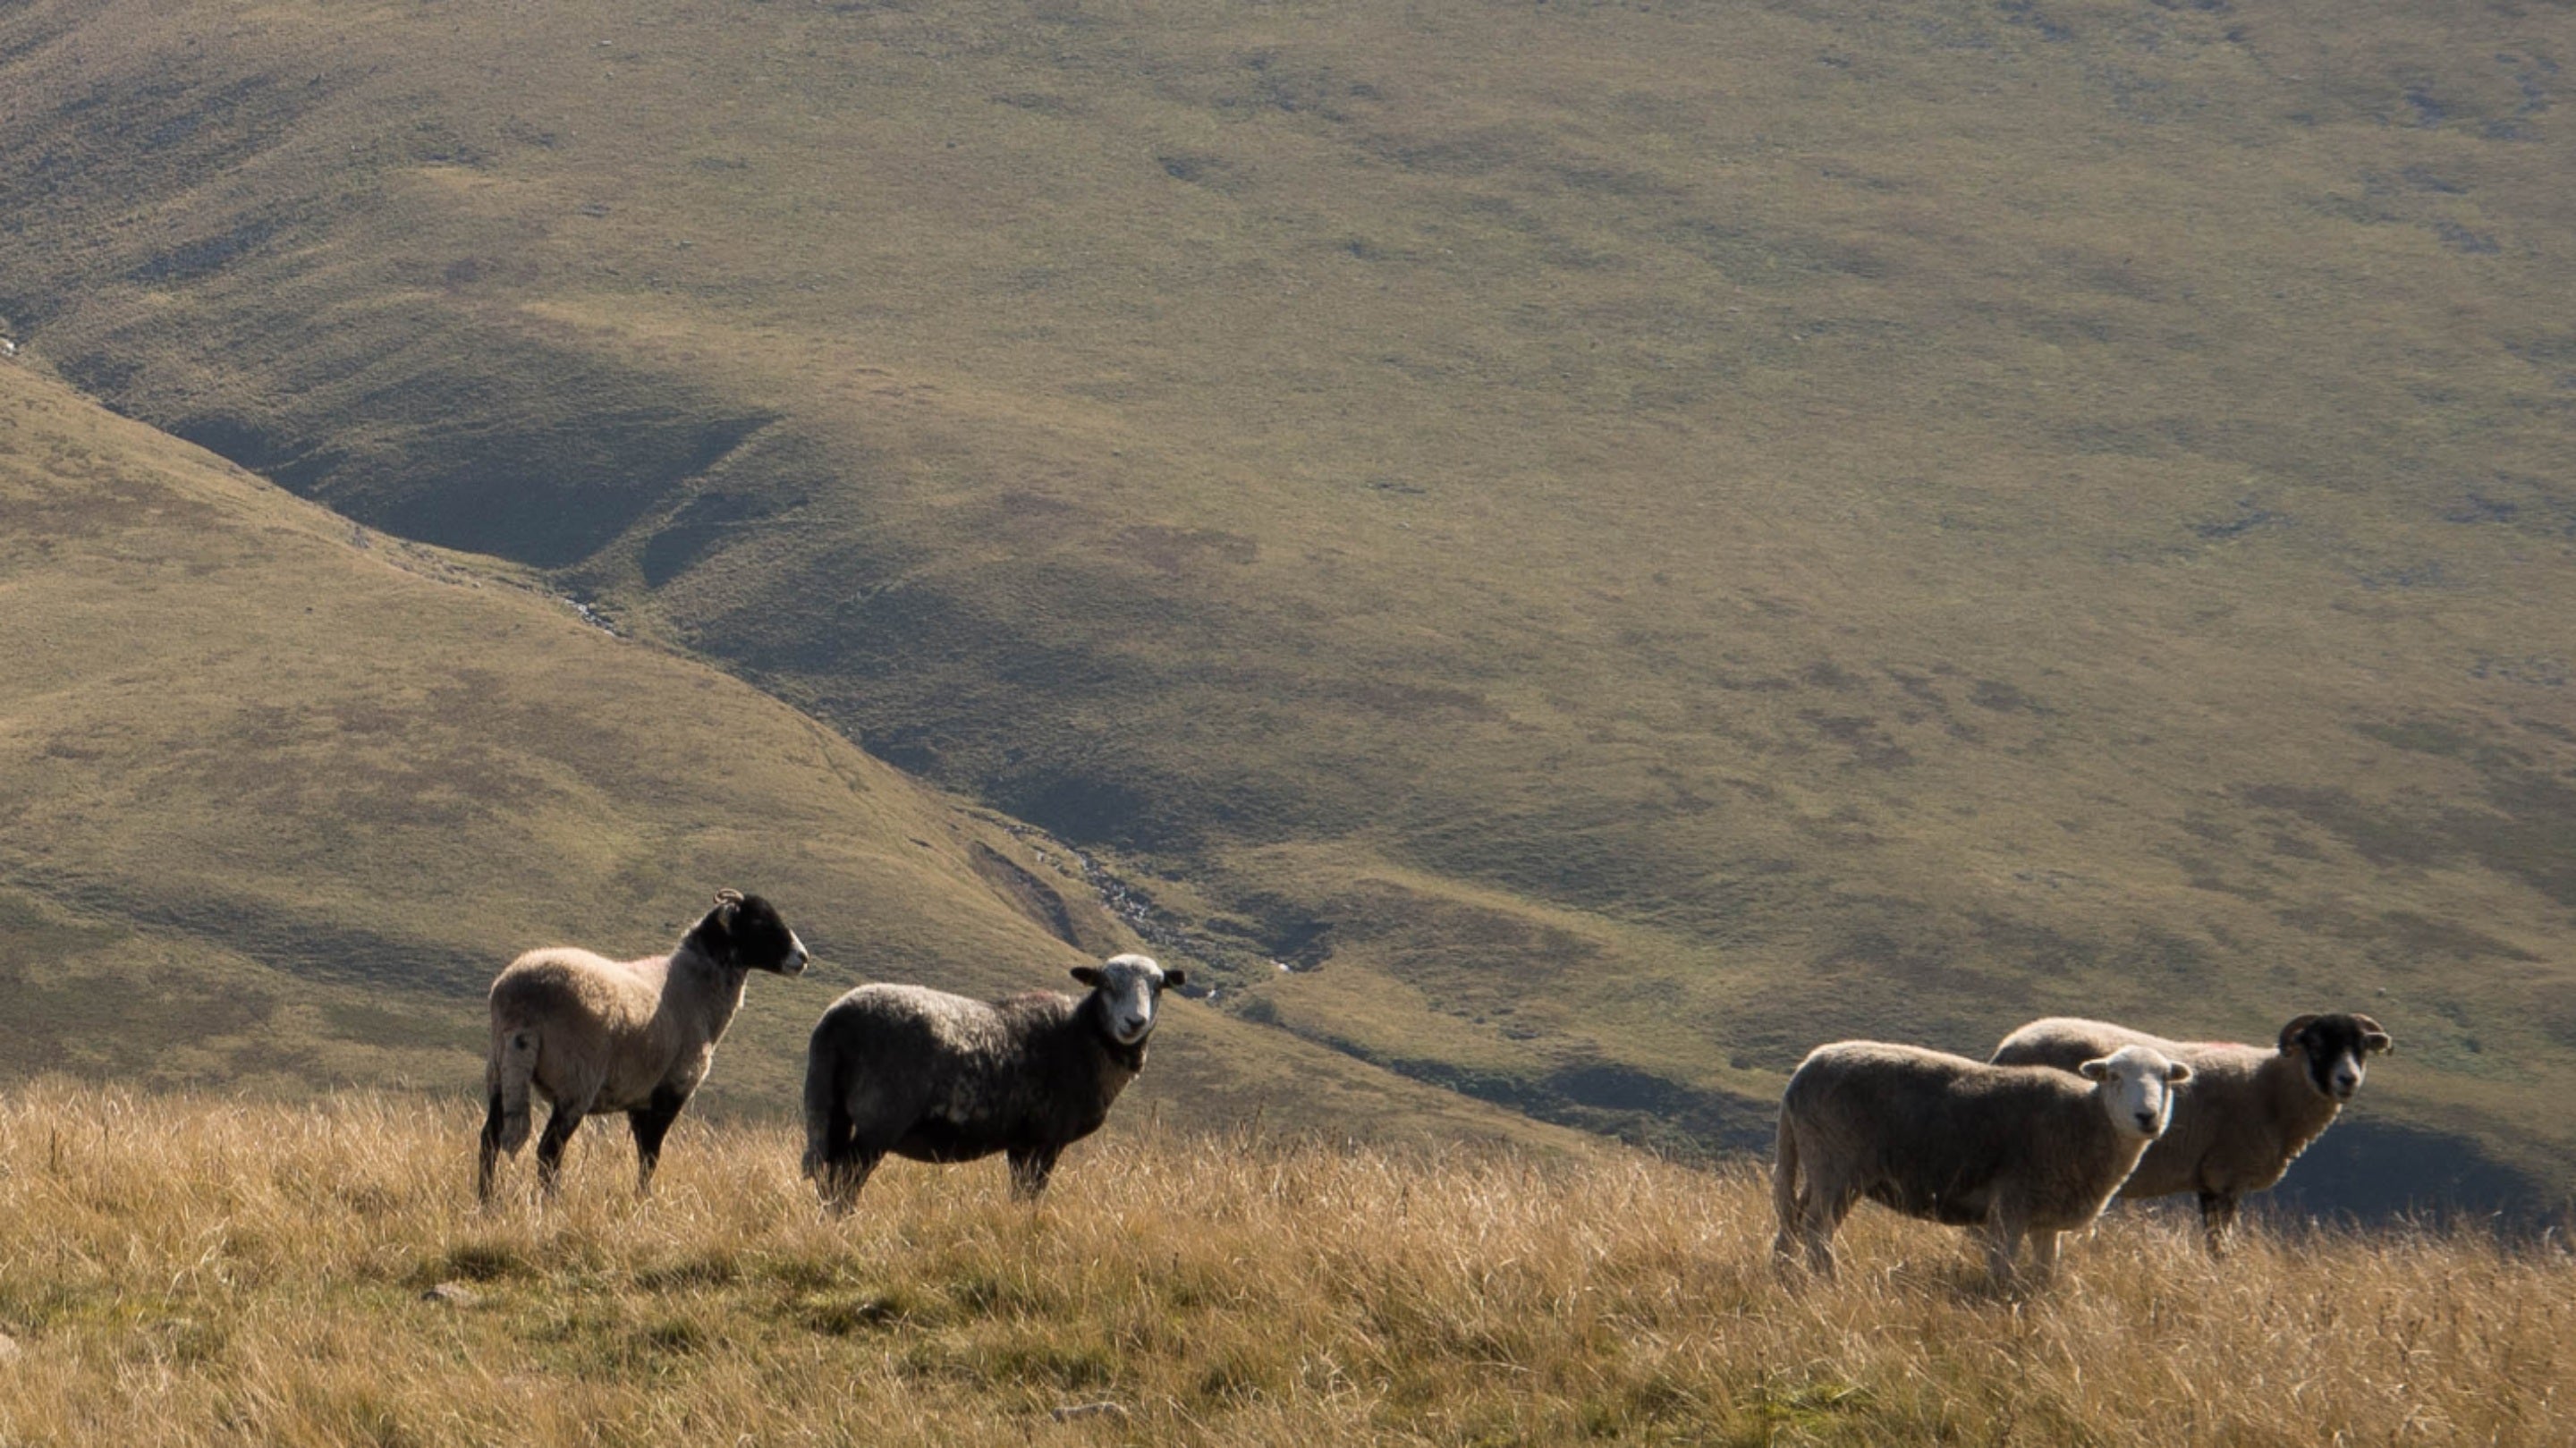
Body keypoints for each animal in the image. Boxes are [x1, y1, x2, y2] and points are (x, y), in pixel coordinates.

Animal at [479, 888, 810, 1202]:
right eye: (759, 921)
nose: (802, 957)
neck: (696, 986)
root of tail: (523, 1004)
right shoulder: (673, 1087)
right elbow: (651, 1154)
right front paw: (644, 1200)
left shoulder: (639, 1097)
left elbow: (642, 1152)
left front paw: (640, 1195)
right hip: (576, 1083)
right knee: (549, 1150)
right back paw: (551, 1202)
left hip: (501, 1070)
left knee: (489, 1139)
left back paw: (487, 1201)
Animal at [801, 952, 1183, 1210]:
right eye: (1106, 984)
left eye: (1158, 987)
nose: (1135, 1022)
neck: (1081, 1037)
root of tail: (834, 1021)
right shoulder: (1047, 1139)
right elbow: (1032, 1195)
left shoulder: (1022, 1143)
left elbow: (1019, 1195)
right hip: (880, 1118)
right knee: (844, 1180)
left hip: (830, 1110)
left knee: (828, 1176)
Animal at [1771, 1040, 2191, 1287]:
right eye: (2114, 1076)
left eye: (2165, 1078)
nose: (2147, 1116)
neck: (2084, 1119)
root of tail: (1802, 1072)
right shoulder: (2011, 1203)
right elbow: (2002, 1265)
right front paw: (2002, 1300)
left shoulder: (2047, 1219)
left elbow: (2046, 1271)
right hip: (1837, 1164)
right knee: (1817, 1228)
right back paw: (1830, 1282)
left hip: (1820, 1161)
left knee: (1793, 1219)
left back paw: (1786, 1277)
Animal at [1990, 1013, 2393, 1252]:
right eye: (2317, 1044)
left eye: (2361, 1047)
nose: (2348, 1080)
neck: (2272, 1089)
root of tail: (2007, 1046)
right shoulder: (2223, 1178)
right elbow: (2219, 1246)